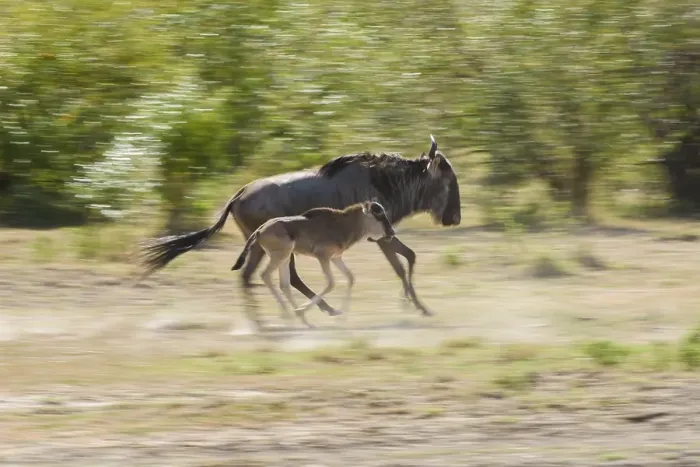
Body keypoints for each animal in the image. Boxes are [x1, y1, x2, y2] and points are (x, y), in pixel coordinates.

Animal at [230, 201, 395, 328]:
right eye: (379, 215)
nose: (392, 232)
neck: (343, 225)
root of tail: (260, 229)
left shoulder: (336, 258)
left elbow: (350, 278)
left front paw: (342, 316)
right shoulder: (323, 257)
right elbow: (330, 283)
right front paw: (305, 310)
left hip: (284, 258)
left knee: (284, 284)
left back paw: (304, 321)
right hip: (280, 256)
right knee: (265, 275)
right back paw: (290, 314)